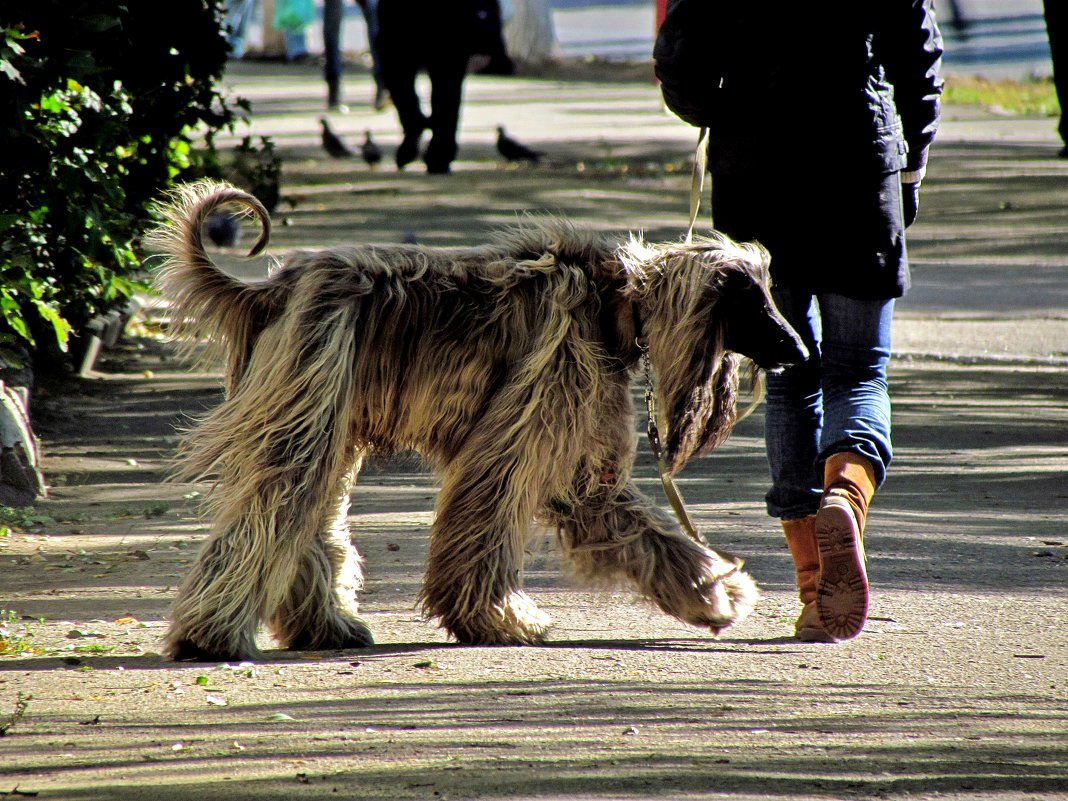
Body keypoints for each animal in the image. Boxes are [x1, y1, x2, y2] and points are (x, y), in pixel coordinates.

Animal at [148, 183, 803, 666]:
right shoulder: (533, 406)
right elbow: (491, 506)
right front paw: (495, 616)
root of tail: (271, 287)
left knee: (308, 515)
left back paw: (325, 624)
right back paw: (211, 635)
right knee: (274, 504)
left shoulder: (580, 462)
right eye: (754, 300)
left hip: (326, 413)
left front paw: (714, 593)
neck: (613, 301)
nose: (799, 350)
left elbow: (630, 522)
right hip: (308, 391)